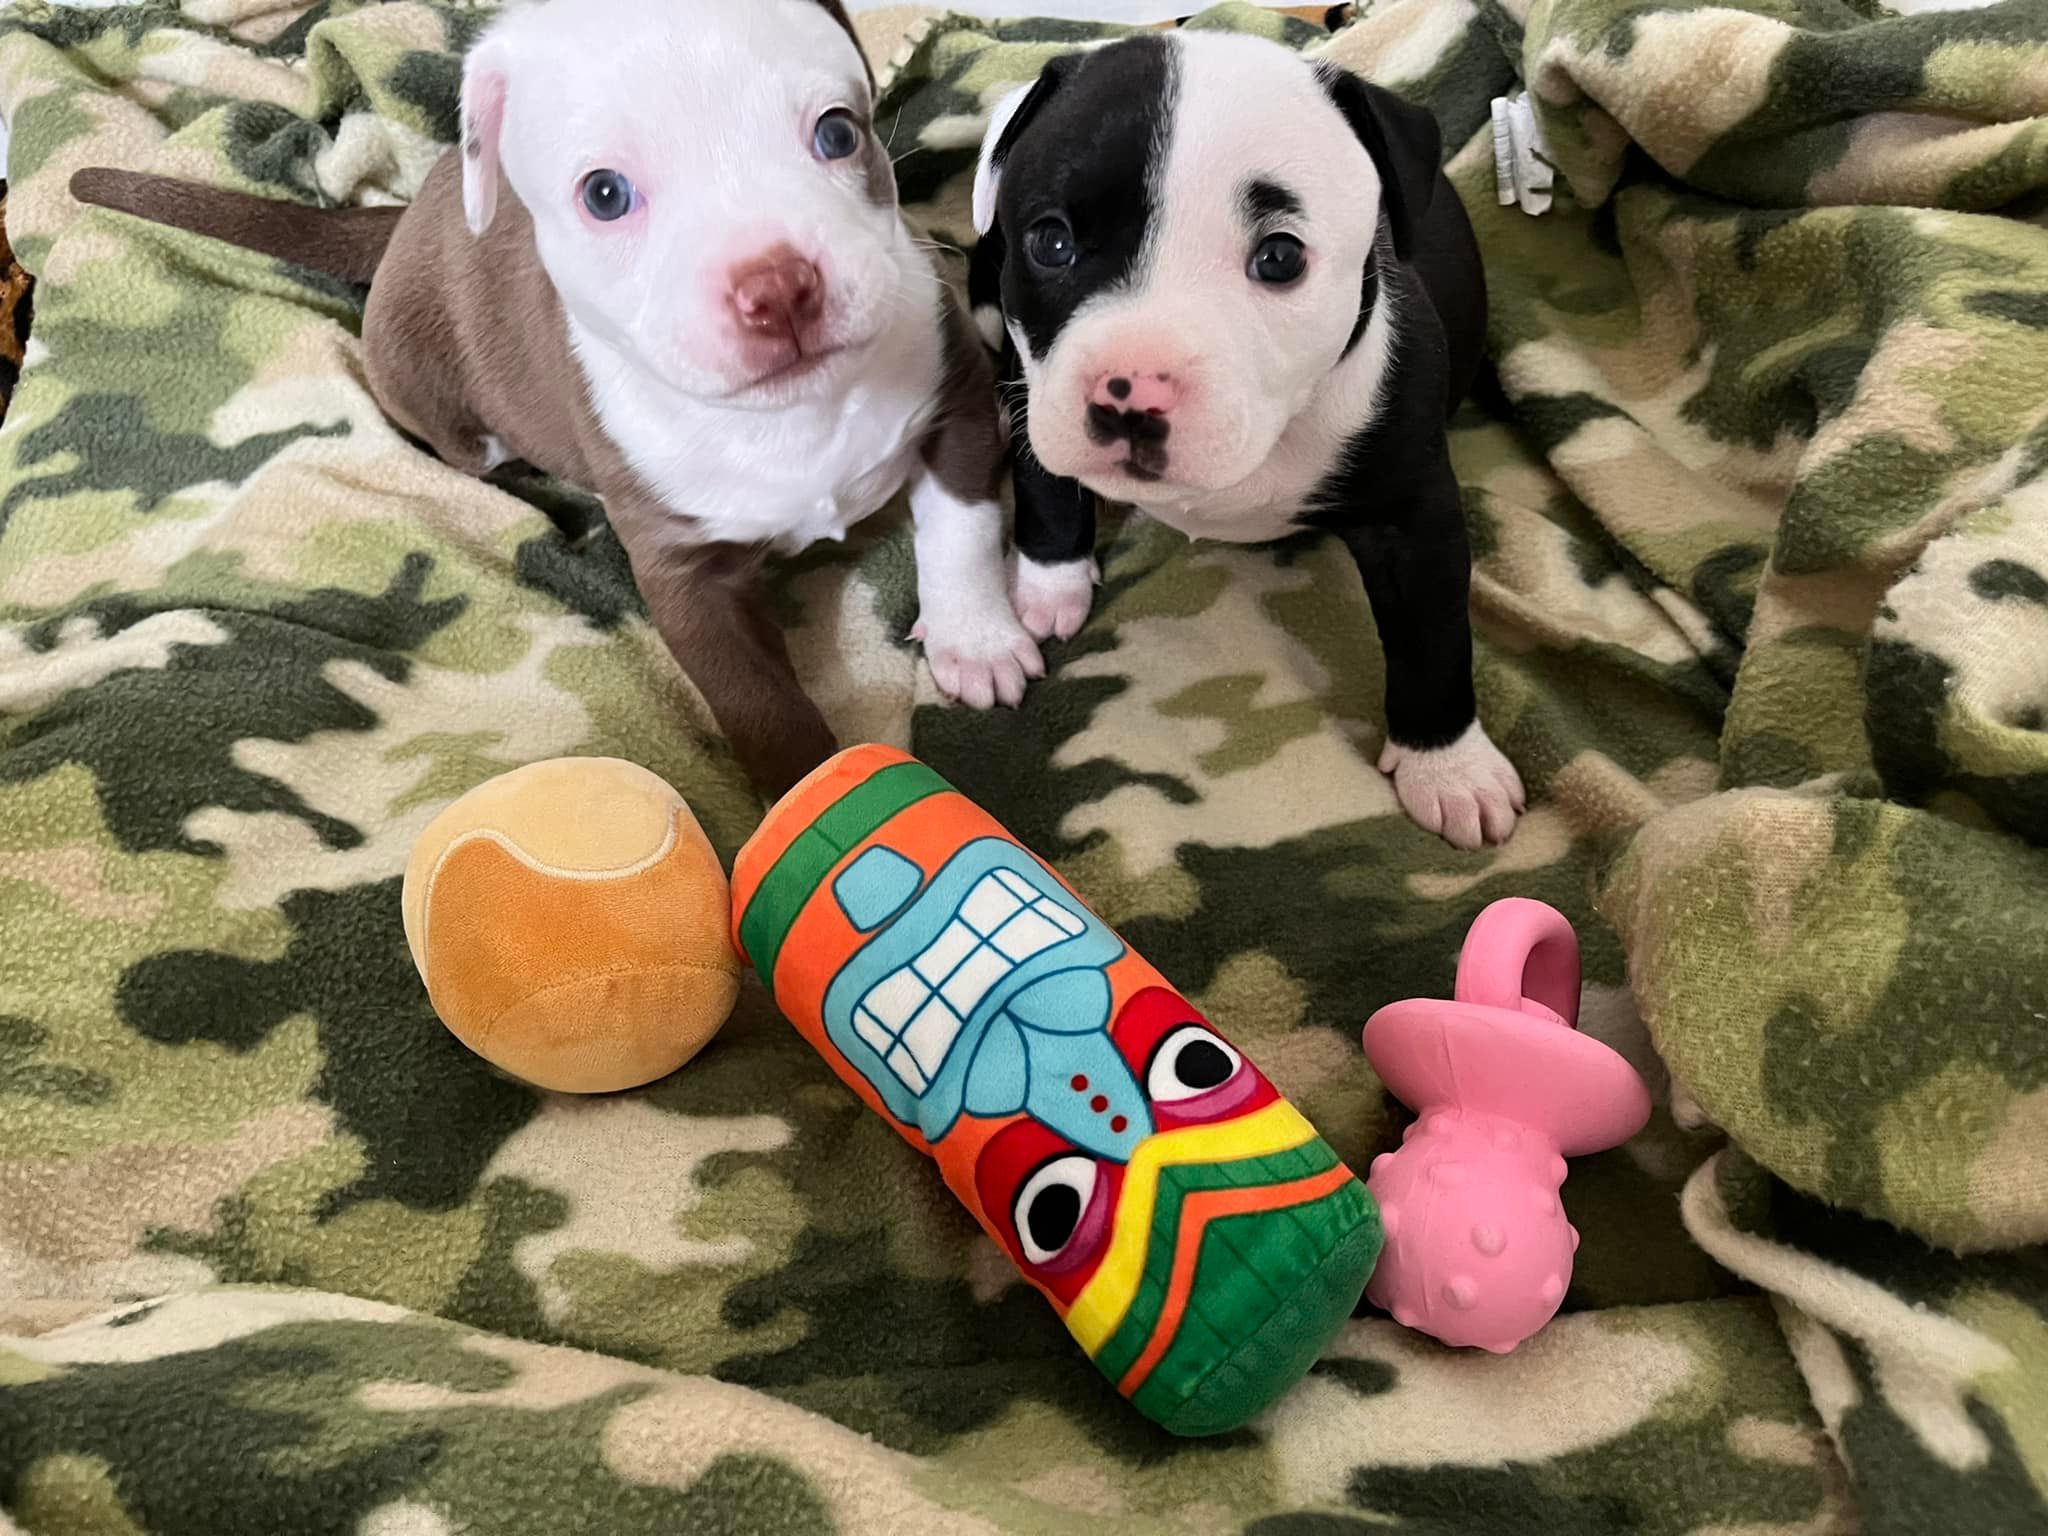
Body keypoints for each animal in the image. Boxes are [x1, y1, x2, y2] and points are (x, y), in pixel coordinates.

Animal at [71, 0, 1041, 799]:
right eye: (605, 195)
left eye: (839, 134)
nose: (778, 286)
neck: (791, 419)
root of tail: (404, 223)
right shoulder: (683, 574)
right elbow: (757, 699)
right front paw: (810, 798)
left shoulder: (955, 398)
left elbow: (960, 530)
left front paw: (977, 641)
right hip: (442, 399)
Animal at [969, 30, 1524, 849]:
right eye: (1050, 241)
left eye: (1280, 257)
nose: (1131, 394)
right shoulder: (1032, 380)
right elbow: (1046, 486)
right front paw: (1048, 587)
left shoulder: (1414, 518)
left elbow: (1432, 636)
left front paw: (1449, 768)